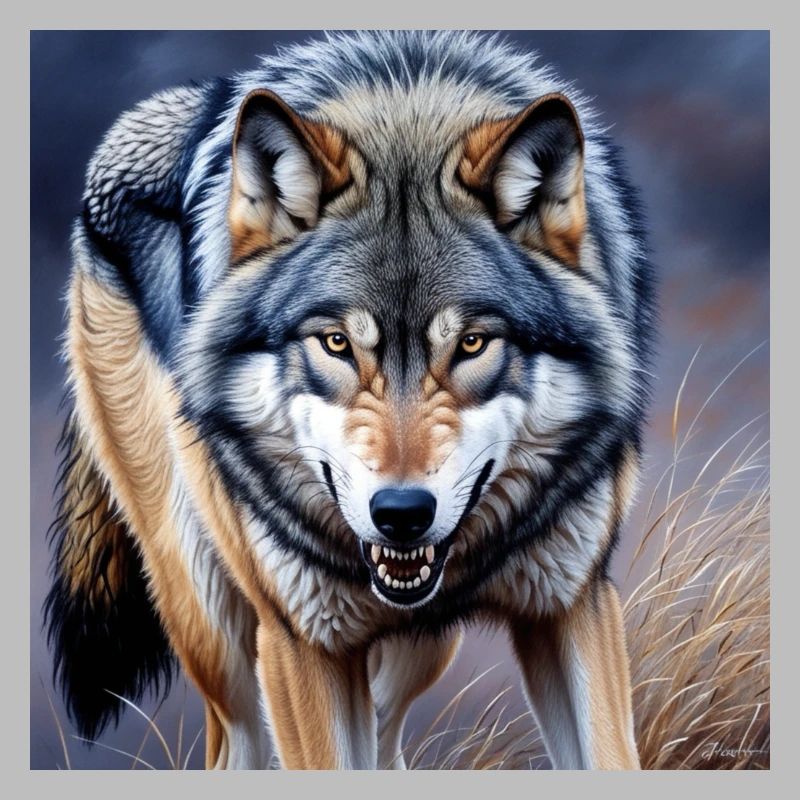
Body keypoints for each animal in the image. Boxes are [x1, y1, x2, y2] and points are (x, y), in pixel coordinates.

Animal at [45, 30, 654, 770]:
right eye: (336, 343)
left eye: (473, 343)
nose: (401, 515)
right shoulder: (303, 642)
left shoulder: (572, 605)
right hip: (216, 630)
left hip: (421, 647)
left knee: (387, 734)